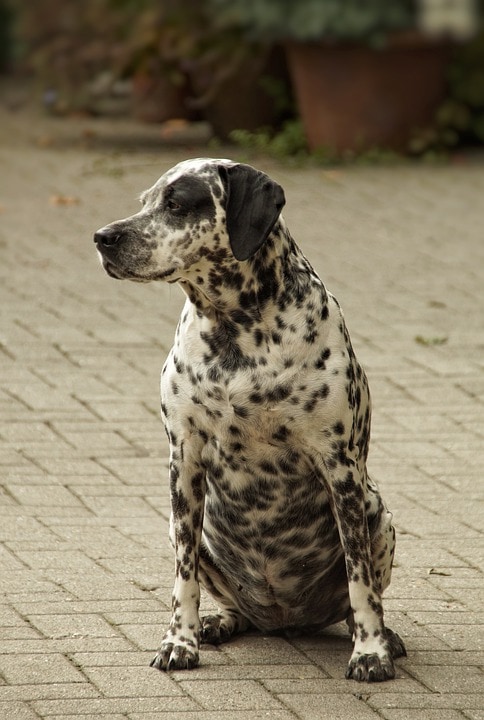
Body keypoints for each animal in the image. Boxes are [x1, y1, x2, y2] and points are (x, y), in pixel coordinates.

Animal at [93, 158, 404, 680]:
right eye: (144, 201)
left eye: (177, 203)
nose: (103, 237)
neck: (235, 331)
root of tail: (283, 621)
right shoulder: (184, 462)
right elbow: (183, 581)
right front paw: (180, 641)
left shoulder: (339, 466)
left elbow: (360, 581)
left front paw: (370, 652)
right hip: (185, 528)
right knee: (228, 601)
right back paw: (219, 622)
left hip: (376, 512)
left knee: (358, 597)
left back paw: (384, 636)